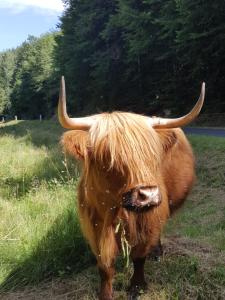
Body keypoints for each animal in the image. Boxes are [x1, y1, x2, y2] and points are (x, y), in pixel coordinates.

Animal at [57, 77, 204, 300]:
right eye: (107, 156)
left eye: (152, 155)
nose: (148, 195)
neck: (115, 210)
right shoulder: (94, 223)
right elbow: (104, 265)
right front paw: (105, 293)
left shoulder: (148, 219)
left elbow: (139, 256)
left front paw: (137, 286)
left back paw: (157, 252)